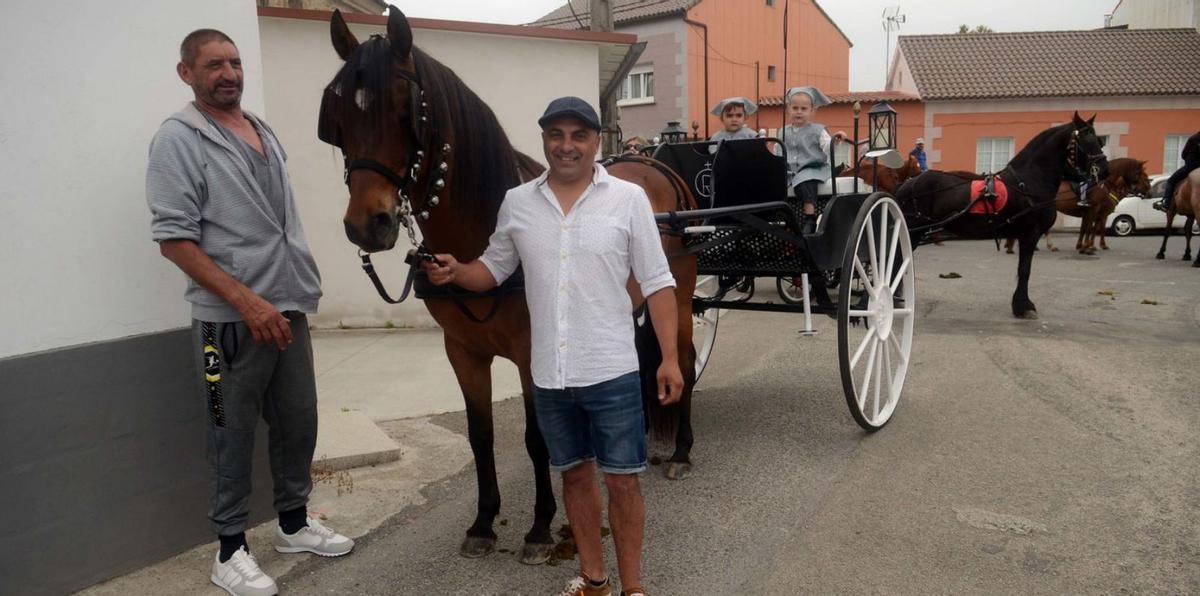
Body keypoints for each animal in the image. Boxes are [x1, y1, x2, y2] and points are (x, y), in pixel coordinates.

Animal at [319, 5, 700, 561]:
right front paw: (483, 521)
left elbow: (536, 437)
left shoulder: (529, 352)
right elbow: (480, 434)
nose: (367, 224)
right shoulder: (462, 351)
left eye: (405, 112)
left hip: (682, 292)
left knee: (683, 361)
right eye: (340, 119)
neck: (481, 232)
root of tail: (649, 161)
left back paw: (683, 452)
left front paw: (540, 525)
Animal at [897, 110, 1108, 316]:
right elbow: (1024, 270)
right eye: (1086, 141)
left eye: (1099, 141)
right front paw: (1023, 306)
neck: (1028, 182)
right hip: (914, 231)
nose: (1104, 170)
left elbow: (1024, 269)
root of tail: (908, 184)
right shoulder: (1030, 234)